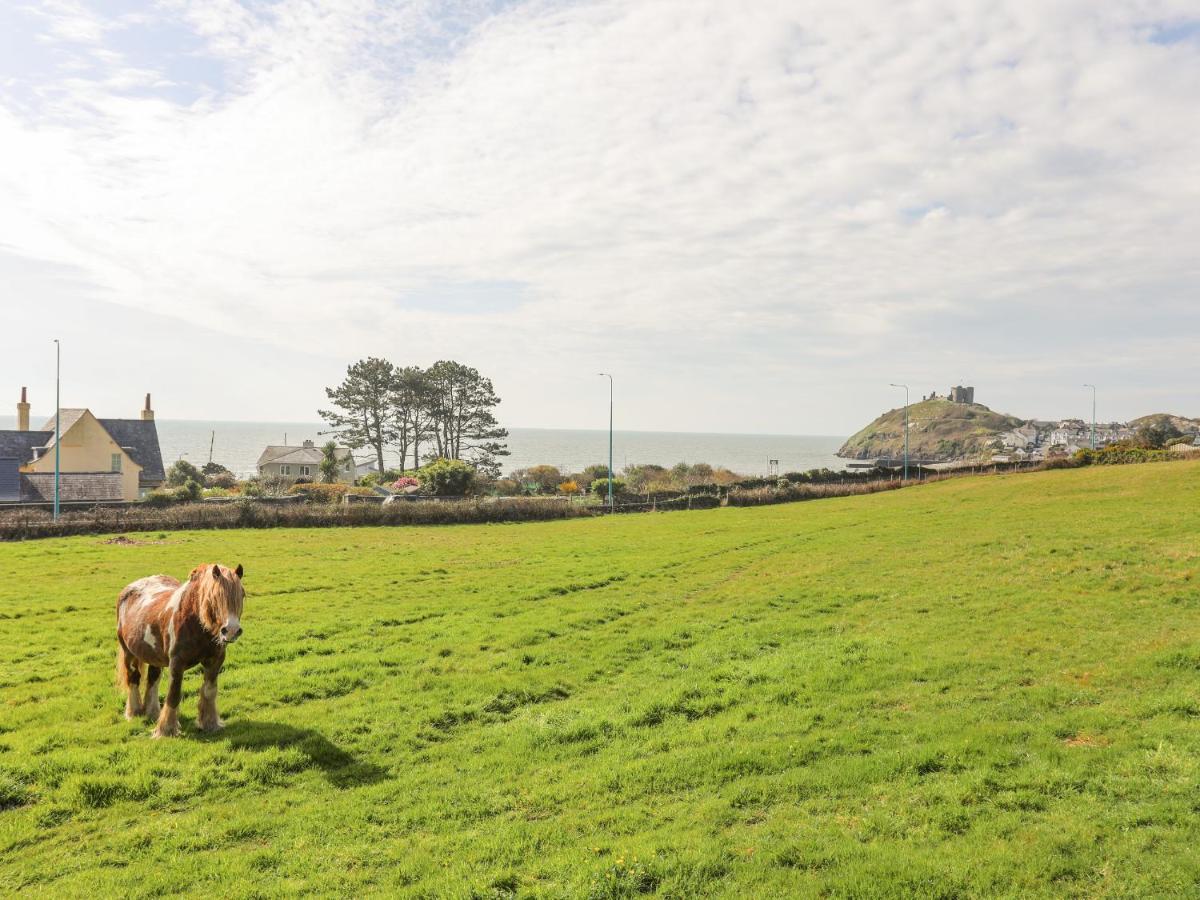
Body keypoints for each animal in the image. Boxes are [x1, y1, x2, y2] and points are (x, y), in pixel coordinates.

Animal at [118, 564, 247, 739]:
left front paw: (209, 724)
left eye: (242, 595)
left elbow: (209, 691)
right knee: (134, 678)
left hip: (154, 657)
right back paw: (134, 712)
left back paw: (153, 713)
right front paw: (166, 730)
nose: (232, 631)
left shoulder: (215, 661)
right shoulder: (177, 663)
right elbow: (174, 694)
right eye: (215, 596)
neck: (195, 621)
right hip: (129, 653)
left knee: (153, 680)